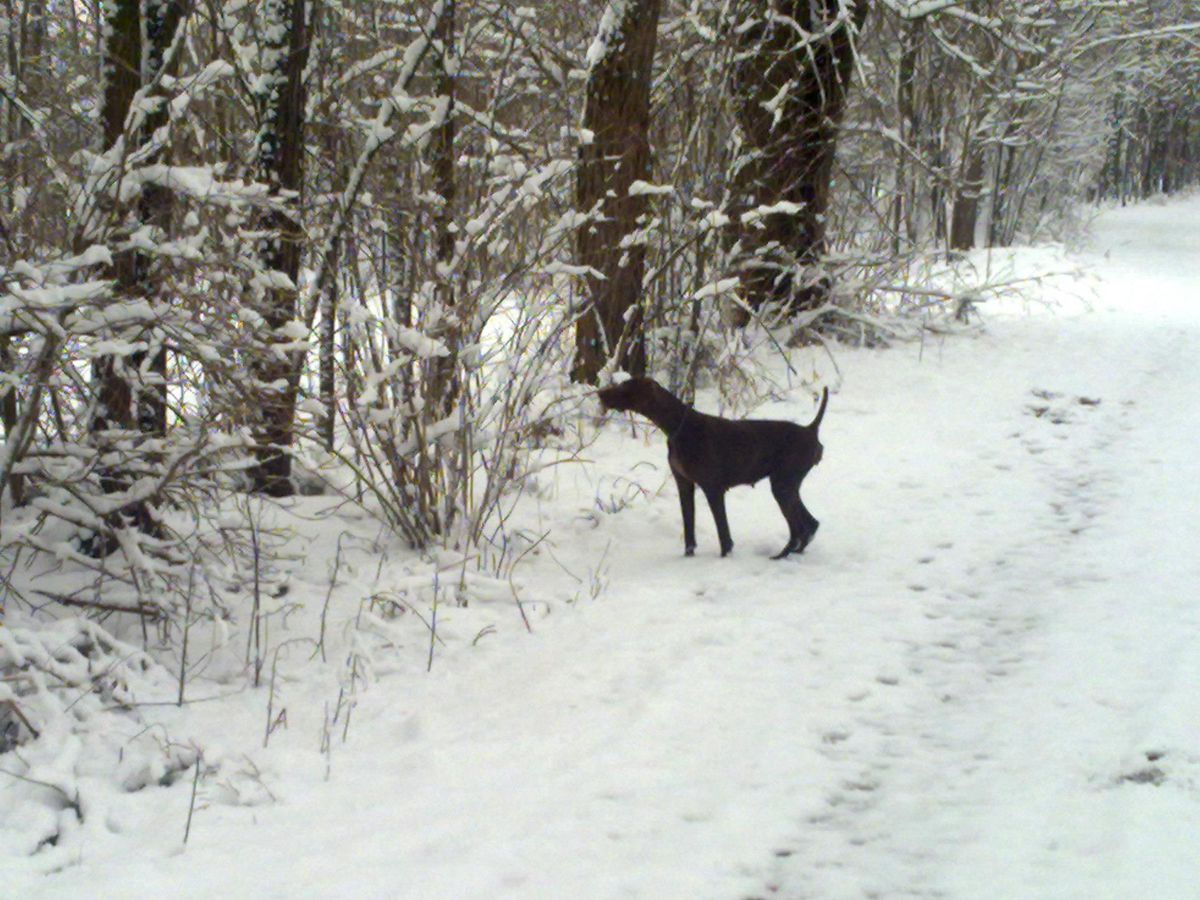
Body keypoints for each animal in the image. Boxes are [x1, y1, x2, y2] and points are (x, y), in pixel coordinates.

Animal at [597, 379, 830, 561]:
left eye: (625, 386)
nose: (600, 392)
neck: (678, 426)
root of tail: (810, 429)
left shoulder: (713, 489)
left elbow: (723, 535)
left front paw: (724, 559)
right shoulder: (684, 485)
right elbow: (689, 529)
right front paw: (688, 557)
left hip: (782, 486)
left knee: (800, 527)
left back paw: (781, 556)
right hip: (786, 486)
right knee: (810, 525)